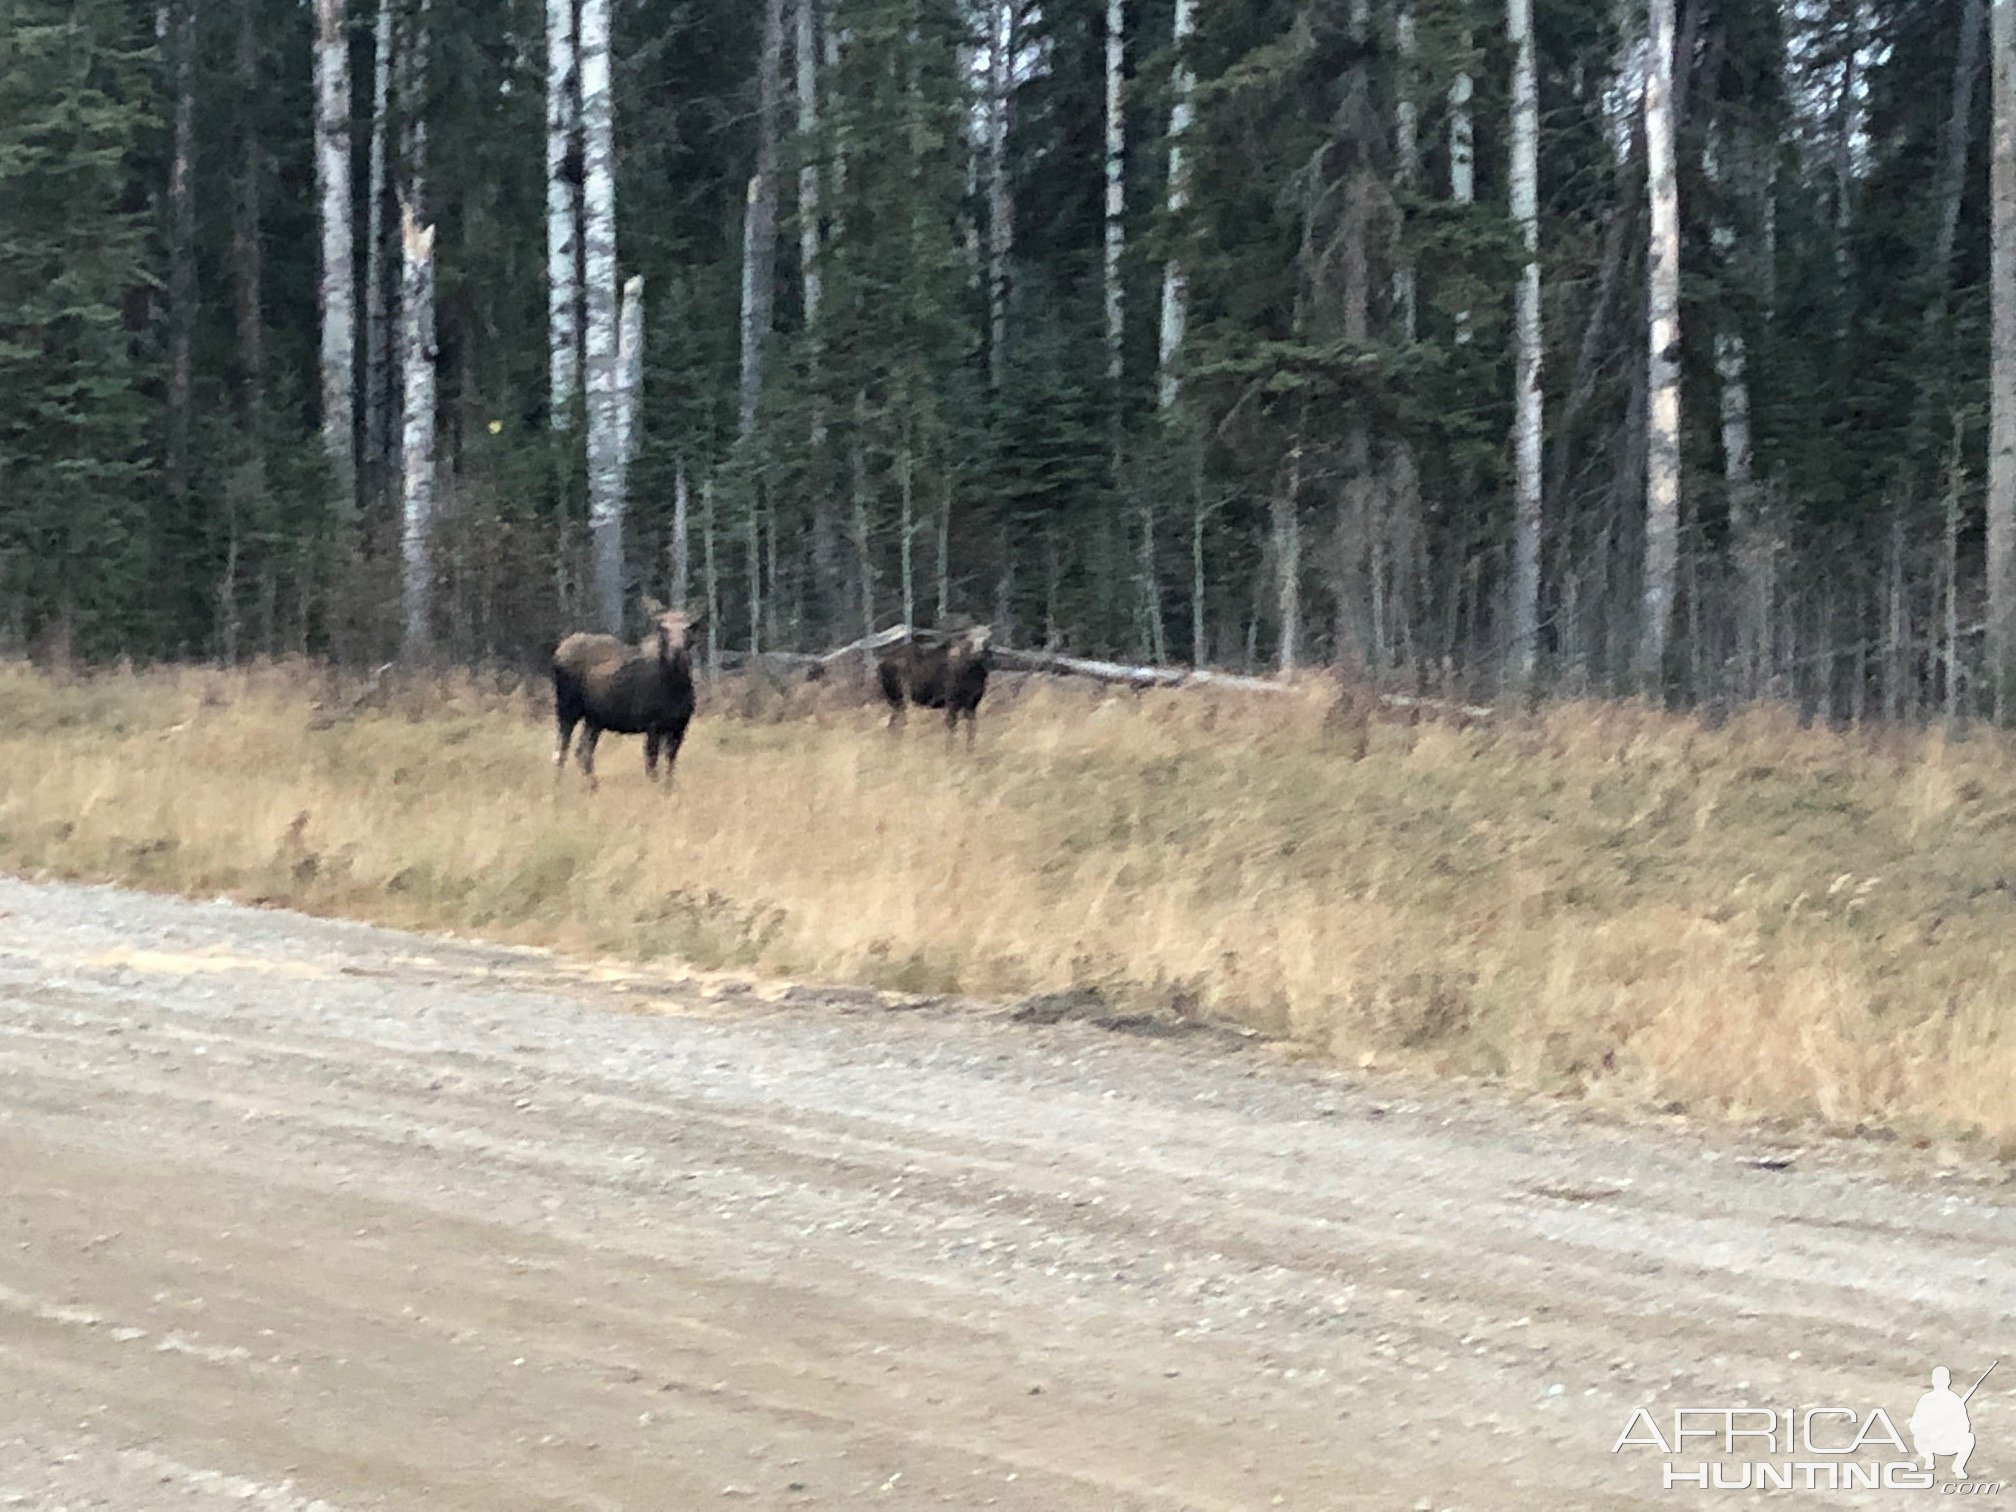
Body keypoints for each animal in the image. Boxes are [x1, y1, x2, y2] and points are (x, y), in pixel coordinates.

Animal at [556, 600, 705, 794]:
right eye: (662, 628)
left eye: (688, 627)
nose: (676, 650)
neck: (676, 688)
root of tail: (558, 651)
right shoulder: (653, 724)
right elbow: (652, 763)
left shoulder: (680, 725)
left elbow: (670, 764)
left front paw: (668, 790)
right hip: (567, 707)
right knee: (562, 748)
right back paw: (558, 787)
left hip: (594, 719)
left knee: (582, 751)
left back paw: (593, 788)